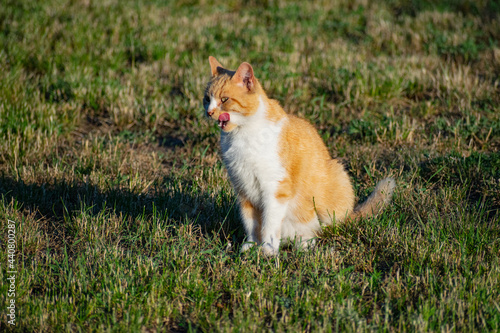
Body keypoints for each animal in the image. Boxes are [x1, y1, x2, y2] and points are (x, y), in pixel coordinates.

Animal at [203, 56, 394, 254]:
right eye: (207, 99)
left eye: (224, 99)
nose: (209, 112)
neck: (242, 135)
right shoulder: (243, 189)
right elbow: (251, 223)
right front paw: (251, 246)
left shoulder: (275, 188)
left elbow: (270, 224)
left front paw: (268, 251)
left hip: (334, 182)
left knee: (324, 227)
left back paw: (305, 243)